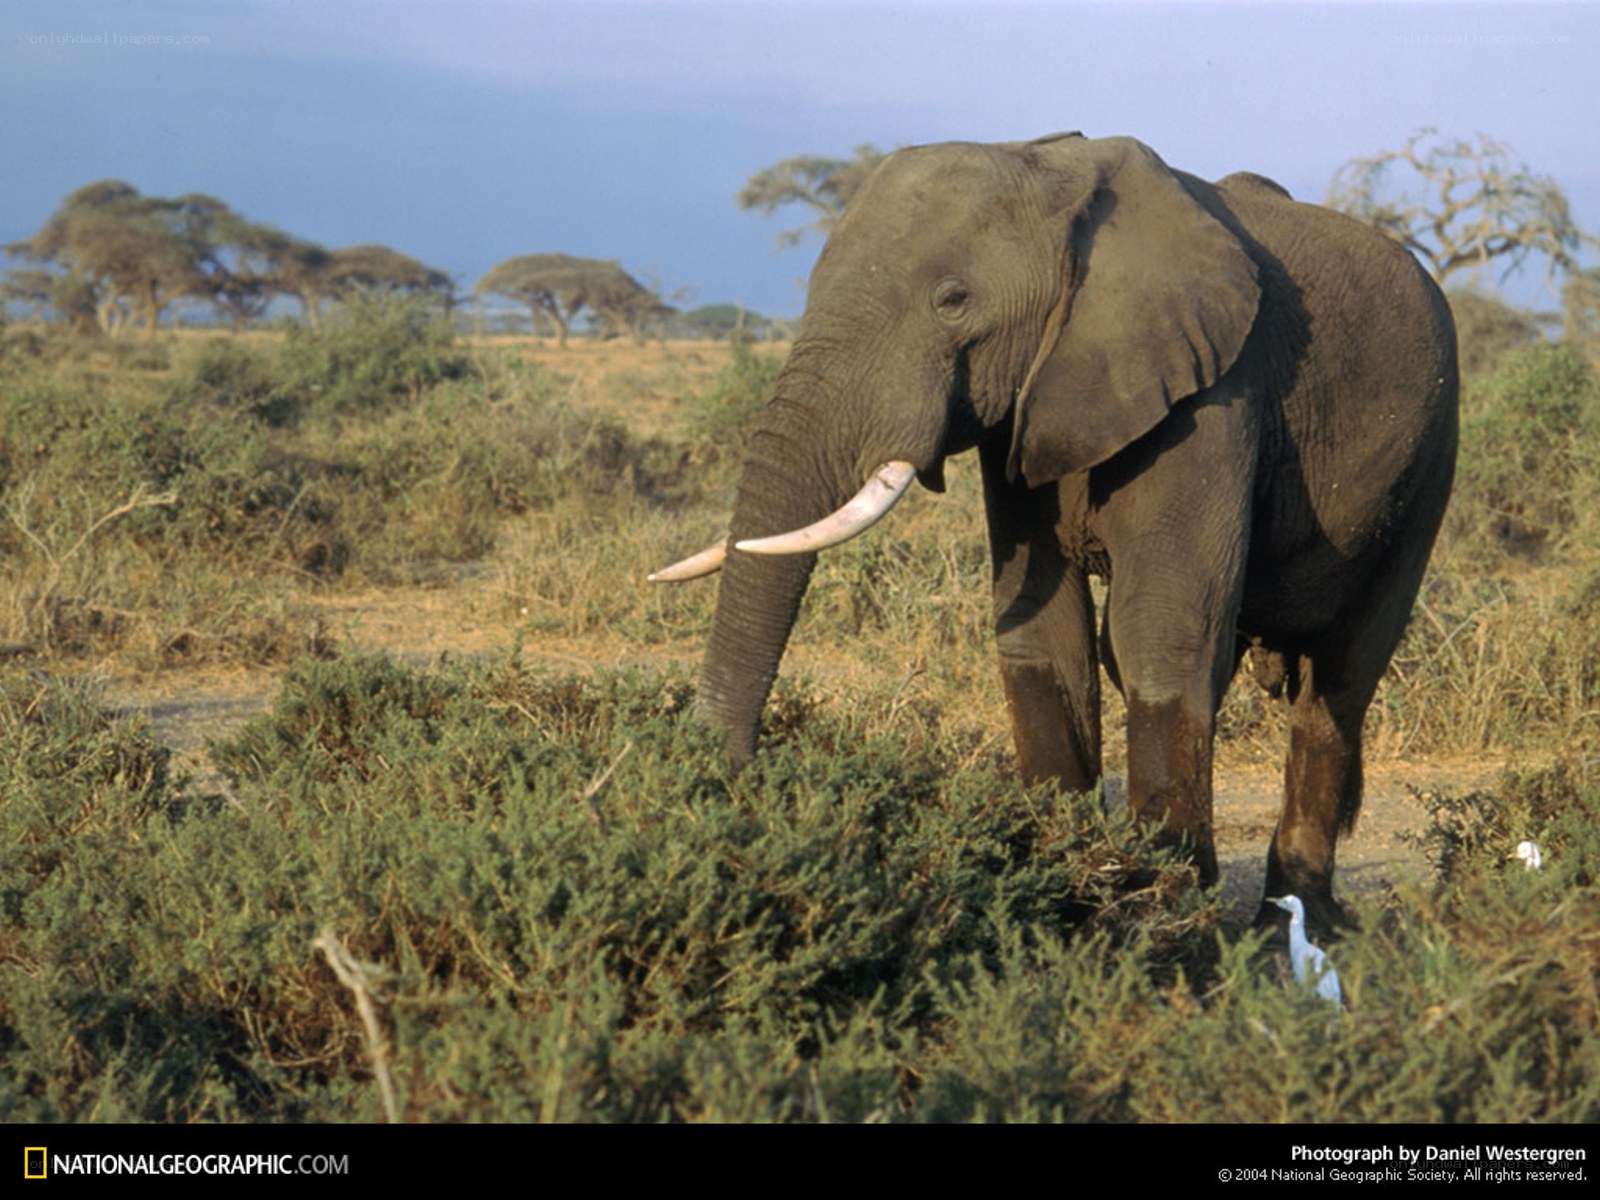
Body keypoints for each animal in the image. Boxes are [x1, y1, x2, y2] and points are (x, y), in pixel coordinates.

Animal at [652, 132, 1458, 937]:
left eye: (953, 301)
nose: (726, 793)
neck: (1053, 174)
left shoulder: (1217, 394)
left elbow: (1161, 632)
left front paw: (1164, 920)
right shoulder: (1022, 413)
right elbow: (1045, 633)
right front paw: (1060, 883)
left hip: (1429, 461)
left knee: (1341, 680)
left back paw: (1301, 922)